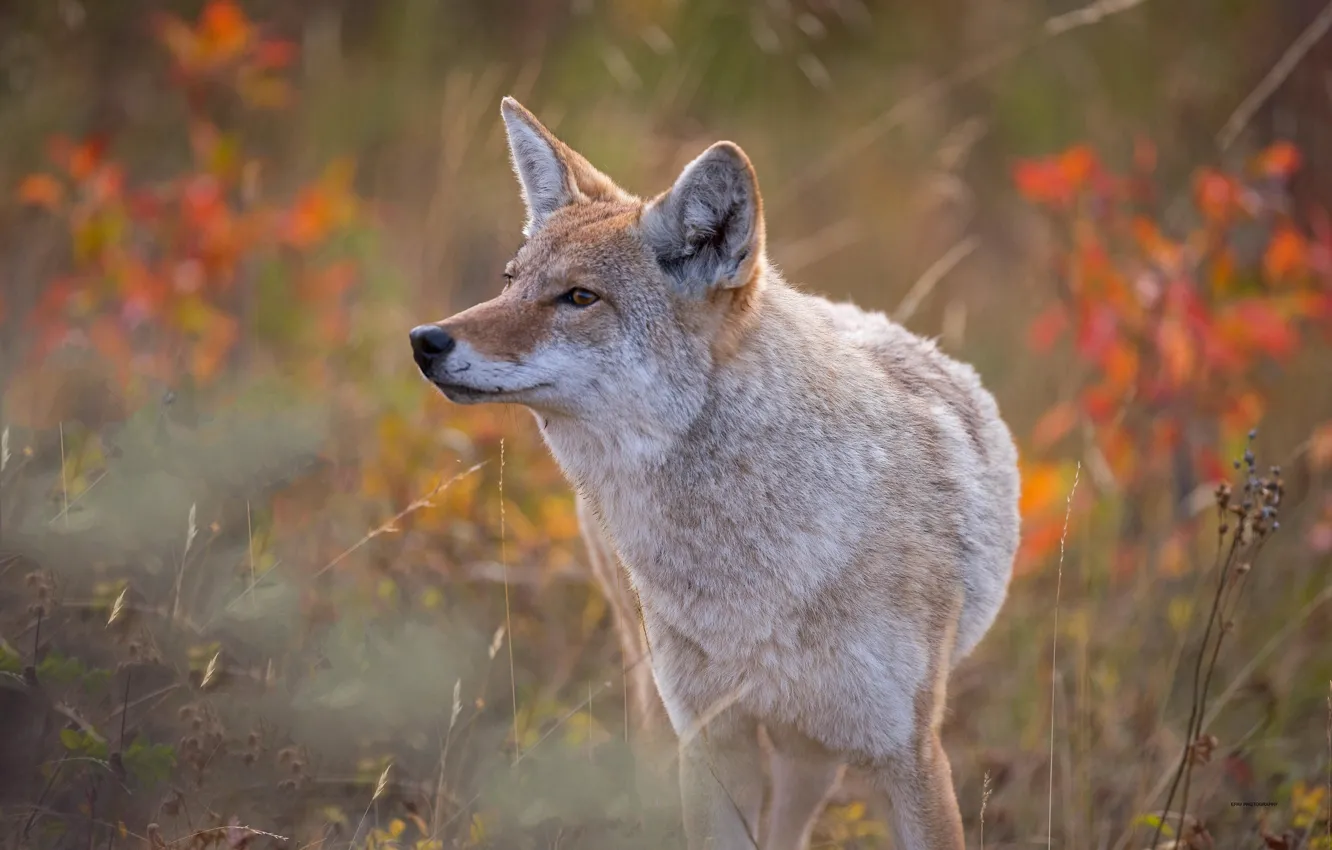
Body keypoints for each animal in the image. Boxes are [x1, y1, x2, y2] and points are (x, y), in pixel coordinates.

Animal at [410, 97, 1021, 850]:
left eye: (579, 298)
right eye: (509, 281)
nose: (426, 341)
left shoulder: (909, 753)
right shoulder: (710, 740)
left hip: (810, 748)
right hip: (671, 704)